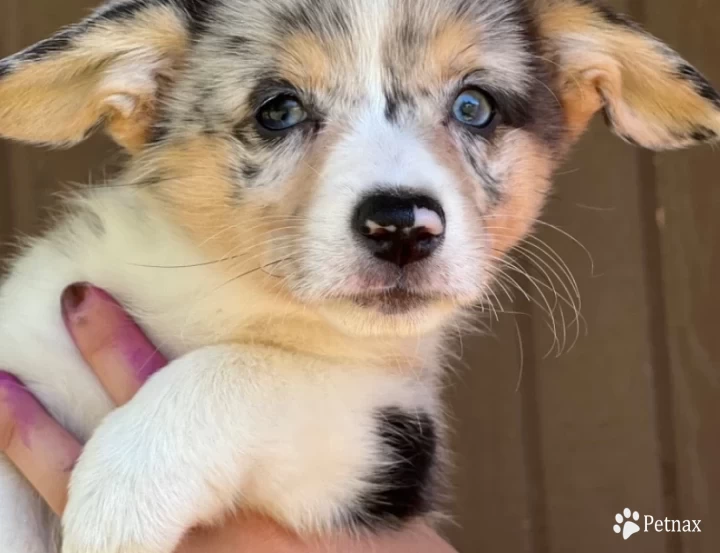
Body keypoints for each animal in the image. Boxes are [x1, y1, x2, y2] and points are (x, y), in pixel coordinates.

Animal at [0, 1, 716, 552]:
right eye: (278, 110)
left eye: (474, 106)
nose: (402, 226)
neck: (218, 296)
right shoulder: (26, 350)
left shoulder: (382, 436)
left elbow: (245, 371)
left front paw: (122, 489)